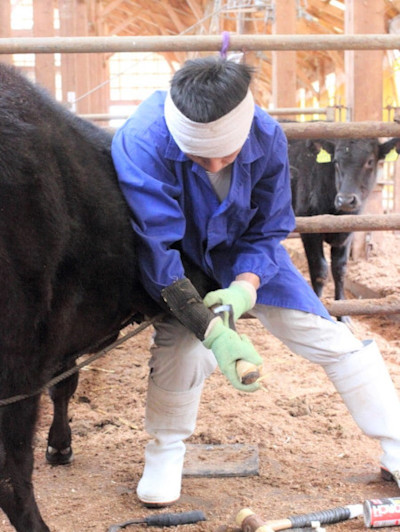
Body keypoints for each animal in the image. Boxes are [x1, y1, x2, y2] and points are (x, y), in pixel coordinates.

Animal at [290, 136, 398, 316]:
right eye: (336, 162)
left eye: (370, 161)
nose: (346, 200)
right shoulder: (308, 226)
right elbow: (319, 269)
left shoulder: (349, 228)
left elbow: (340, 269)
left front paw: (343, 315)